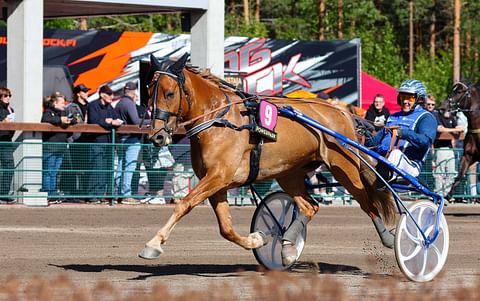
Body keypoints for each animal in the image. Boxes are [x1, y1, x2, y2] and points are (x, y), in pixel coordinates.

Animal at [137, 53, 396, 260]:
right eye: (148, 92)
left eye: (170, 93)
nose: (157, 136)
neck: (219, 120)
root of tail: (341, 110)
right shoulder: (217, 183)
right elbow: (226, 228)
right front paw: (258, 239)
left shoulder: (218, 176)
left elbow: (184, 204)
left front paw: (153, 244)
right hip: (290, 173)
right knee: (309, 207)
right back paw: (288, 246)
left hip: (345, 167)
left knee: (368, 203)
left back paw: (390, 238)